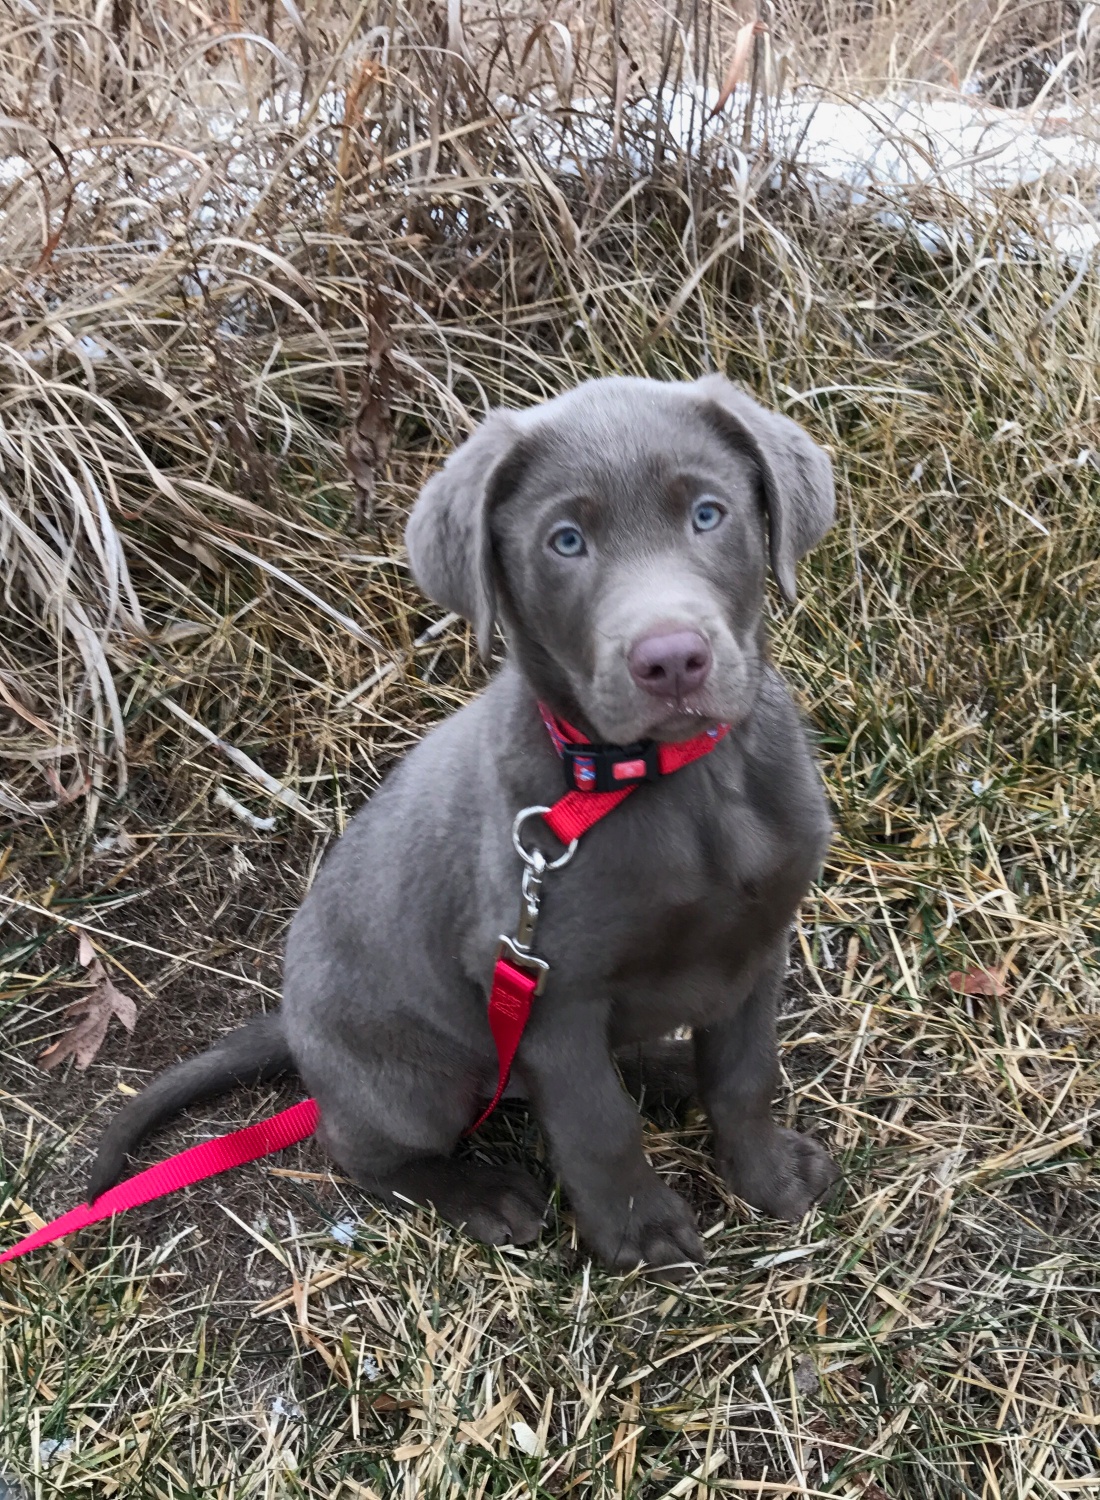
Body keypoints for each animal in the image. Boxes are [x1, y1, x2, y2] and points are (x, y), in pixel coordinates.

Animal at [87, 372, 840, 1266]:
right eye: (565, 542)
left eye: (708, 514)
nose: (671, 660)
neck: (668, 782)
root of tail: (297, 1032)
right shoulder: (550, 995)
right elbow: (597, 1126)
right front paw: (641, 1232)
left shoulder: (758, 944)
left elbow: (744, 1076)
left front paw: (769, 1175)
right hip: (419, 1081)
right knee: (363, 1146)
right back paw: (480, 1195)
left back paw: (667, 1070)